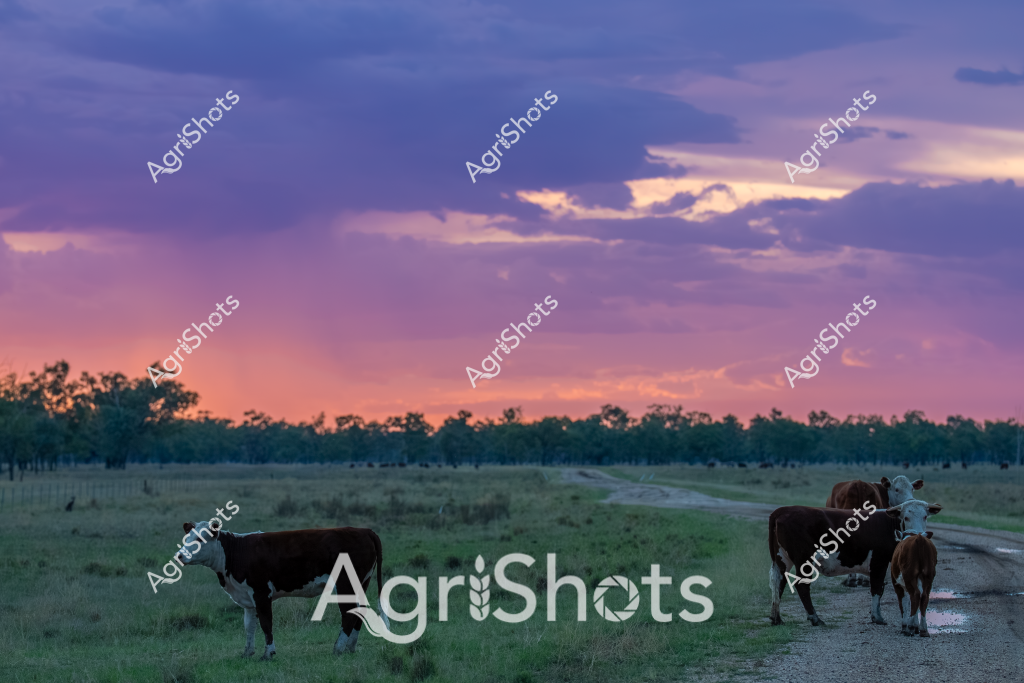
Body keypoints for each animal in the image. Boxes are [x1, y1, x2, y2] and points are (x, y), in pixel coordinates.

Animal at [176, 520, 387, 660]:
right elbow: (249, 626)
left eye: (200, 539)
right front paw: (247, 652)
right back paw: (351, 647)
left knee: (349, 613)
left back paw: (338, 648)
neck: (235, 552)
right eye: (186, 538)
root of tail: (364, 530)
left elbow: (266, 624)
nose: (179, 556)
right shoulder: (247, 597)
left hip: (345, 583)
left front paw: (268, 653)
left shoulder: (262, 593)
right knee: (360, 611)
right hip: (361, 582)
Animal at [768, 499, 942, 627]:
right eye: (905, 517)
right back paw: (815, 618)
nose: (917, 534)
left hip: (781, 559)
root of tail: (781, 510)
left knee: (778, 582)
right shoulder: (878, 562)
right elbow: (877, 589)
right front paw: (877, 617)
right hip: (804, 559)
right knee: (801, 586)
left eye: (925, 516)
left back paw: (776, 618)